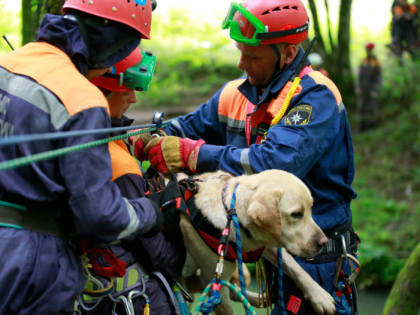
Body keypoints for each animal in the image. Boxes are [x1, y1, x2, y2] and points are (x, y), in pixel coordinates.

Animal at [179, 170, 336, 315]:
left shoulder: (267, 243)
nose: (324, 242)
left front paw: (320, 296)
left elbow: (296, 268)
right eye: (296, 214)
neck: (232, 213)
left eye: (311, 208)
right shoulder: (215, 282)